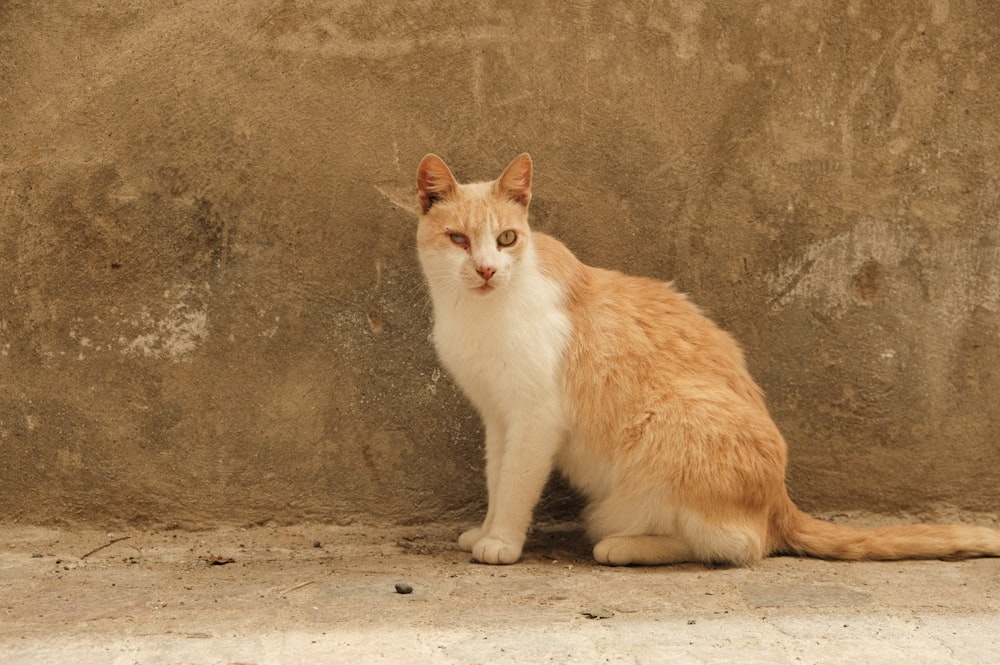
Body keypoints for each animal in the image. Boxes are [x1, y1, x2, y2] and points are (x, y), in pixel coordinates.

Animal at [412, 154, 1000, 564]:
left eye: (507, 238)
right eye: (459, 239)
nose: (487, 269)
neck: (478, 312)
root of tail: (781, 500)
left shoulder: (535, 419)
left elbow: (515, 485)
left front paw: (502, 542)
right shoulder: (498, 417)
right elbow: (496, 477)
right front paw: (486, 529)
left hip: (673, 422)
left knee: (738, 545)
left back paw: (625, 547)